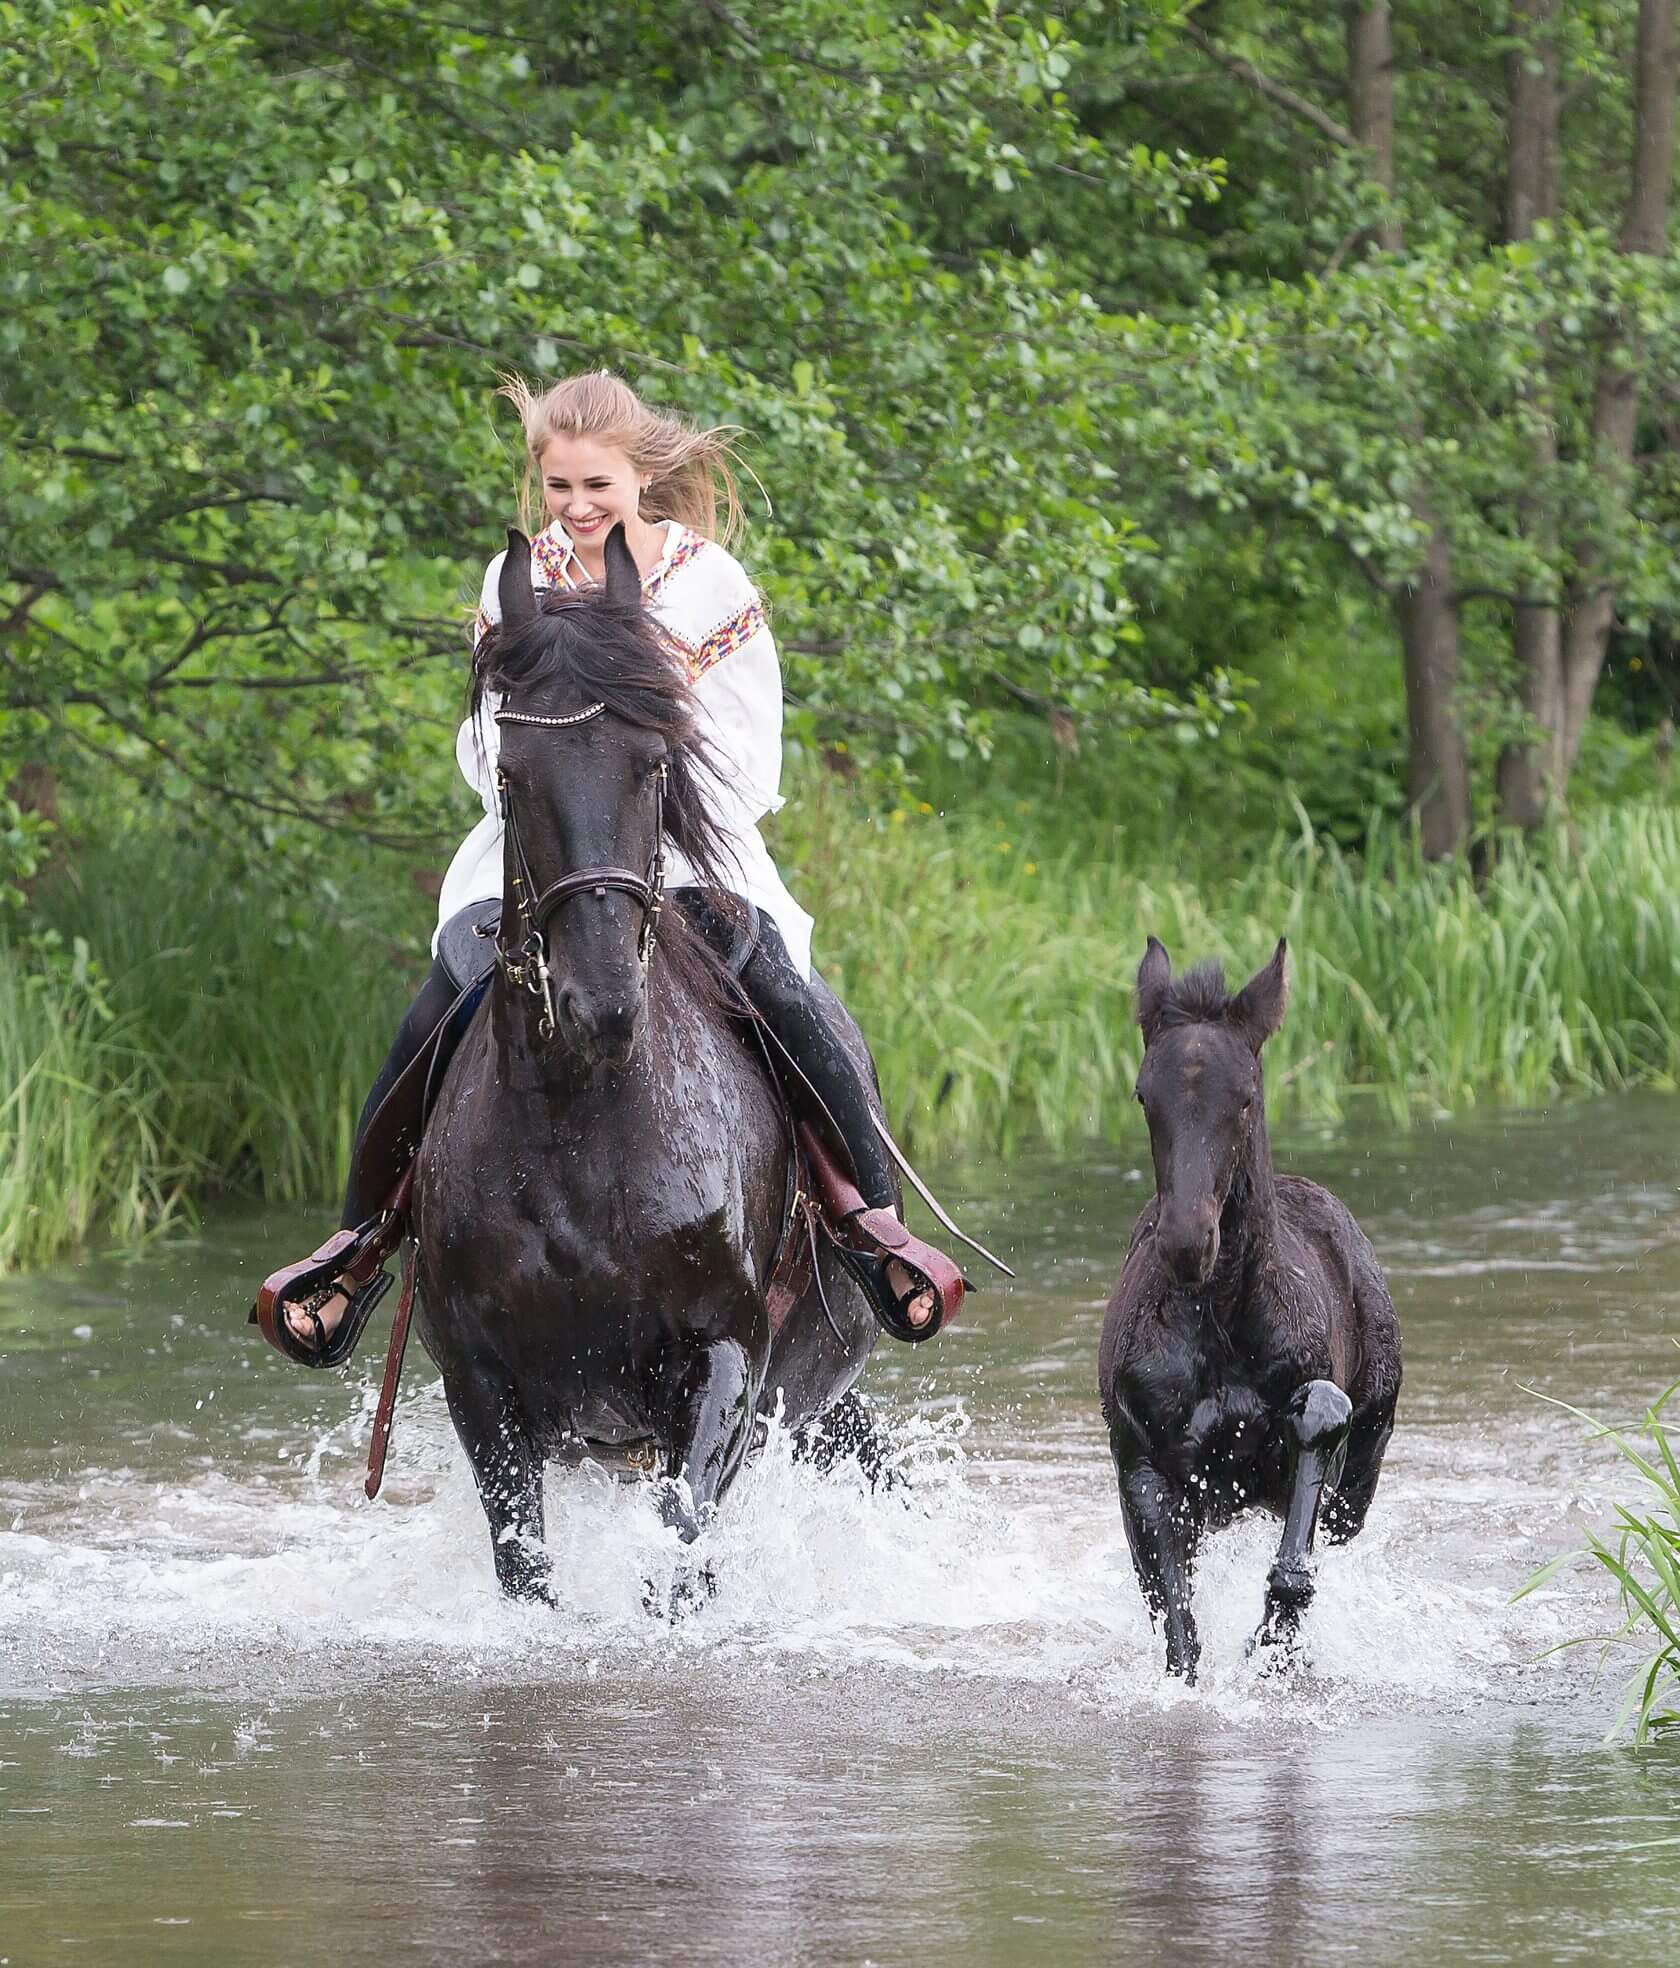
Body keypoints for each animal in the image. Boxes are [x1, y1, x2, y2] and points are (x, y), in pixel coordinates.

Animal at [411, 535, 881, 1598]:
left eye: (654, 761)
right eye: (513, 773)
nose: (602, 1002)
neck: (580, 1120)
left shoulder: (725, 1359)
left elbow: (679, 1551)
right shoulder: (482, 1384)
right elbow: (526, 1570)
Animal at [1101, 936, 1408, 1676]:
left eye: (1244, 1099)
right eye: (1144, 1094)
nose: (1188, 1241)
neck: (1222, 1325)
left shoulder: (1306, 1463)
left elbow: (1295, 1566)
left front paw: (1270, 1645)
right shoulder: (1146, 1472)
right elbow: (1177, 1622)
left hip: (1362, 1475)